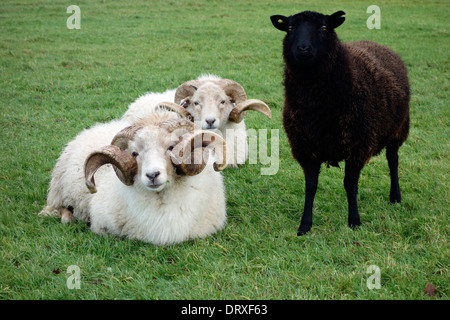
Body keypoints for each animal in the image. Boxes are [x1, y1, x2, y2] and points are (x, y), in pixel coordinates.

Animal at [268, 10, 410, 235]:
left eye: (324, 28)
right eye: (290, 28)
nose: (303, 48)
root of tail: (377, 43)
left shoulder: (357, 145)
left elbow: (349, 185)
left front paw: (354, 221)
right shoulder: (305, 148)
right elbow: (310, 186)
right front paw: (305, 225)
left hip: (398, 128)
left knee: (393, 160)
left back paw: (395, 196)